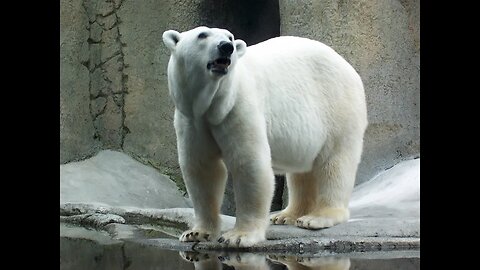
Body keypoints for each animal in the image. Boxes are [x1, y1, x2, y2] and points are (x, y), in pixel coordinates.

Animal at [162, 26, 368, 248]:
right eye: (202, 35)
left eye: (230, 37)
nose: (226, 47)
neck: (213, 104)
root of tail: (348, 67)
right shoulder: (192, 119)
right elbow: (202, 169)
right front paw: (196, 233)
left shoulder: (238, 106)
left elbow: (249, 165)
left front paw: (239, 236)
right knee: (303, 169)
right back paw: (286, 215)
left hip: (337, 107)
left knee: (335, 163)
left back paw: (317, 217)